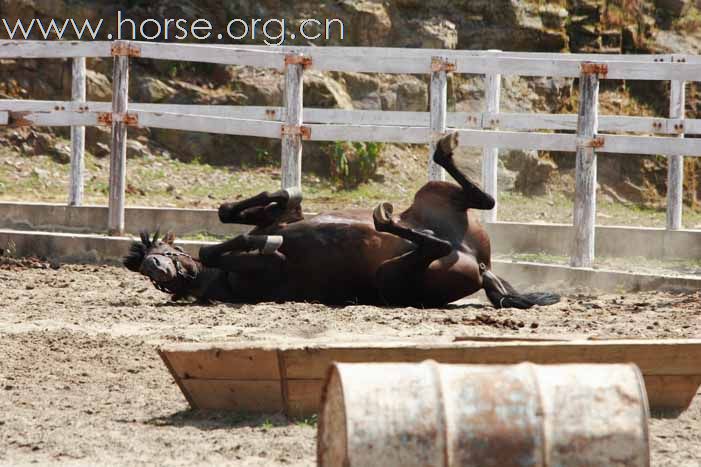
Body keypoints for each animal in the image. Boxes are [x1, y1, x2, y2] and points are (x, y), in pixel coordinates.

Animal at [121, 134, 556, 310]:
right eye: (149, 275)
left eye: (161, 249)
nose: (154, 266)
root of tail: (480, 264)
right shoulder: (260, 274)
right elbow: (225, 247)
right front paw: (256, 243)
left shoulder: (279, 219)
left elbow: (244, 211)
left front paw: (278, 201)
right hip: (391, 277)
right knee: (438, 243)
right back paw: (386, 218)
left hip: (431, 197)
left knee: (478, 201)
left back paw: (443, 152)